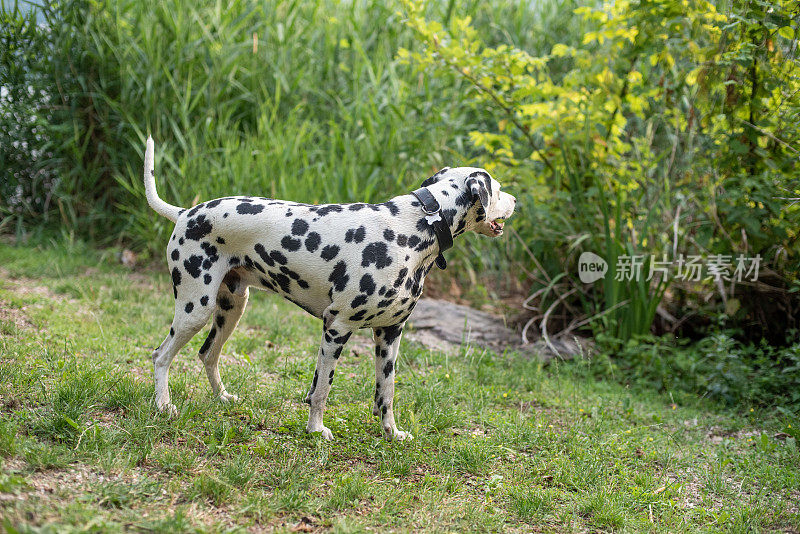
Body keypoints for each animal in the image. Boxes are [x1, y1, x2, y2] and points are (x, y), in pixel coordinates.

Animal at [144, 136, 520, 442]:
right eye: (500, 189)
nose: (516, 200)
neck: (416, 227)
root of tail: (185, 212)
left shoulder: (389, 335)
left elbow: (386, 392)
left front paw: (392, 433)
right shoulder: (336, 328)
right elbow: (322, 389)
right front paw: (315, 430)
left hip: (231, 309)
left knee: (208, 354)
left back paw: (222, 398)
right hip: (196, 309)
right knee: (161, 356)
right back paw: (164, 406)